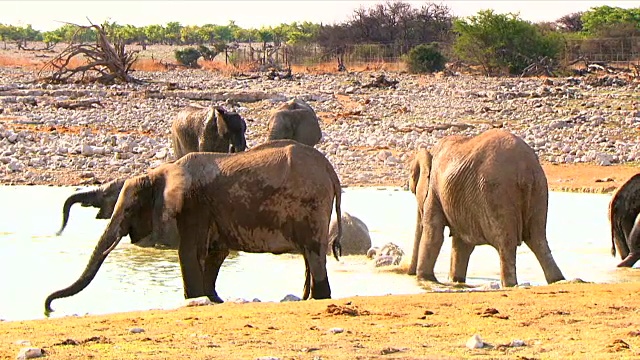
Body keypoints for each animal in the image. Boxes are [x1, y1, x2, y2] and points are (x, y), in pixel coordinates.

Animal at [43, 139, 344, 314]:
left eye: (128, 209)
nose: (50, 308)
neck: (161, 171)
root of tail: (331, 172)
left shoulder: (192, 205)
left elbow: (189, 253)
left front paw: (195, 299)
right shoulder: (211, 211)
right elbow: (215, 254)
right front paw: (212, 299)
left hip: (312, 204)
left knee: (313, 254)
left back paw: (319, 297)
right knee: (308, 256)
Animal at [410, 129, 564, 286]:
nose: (408, 273)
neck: (430, 152)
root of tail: (524, 168)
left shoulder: (434, 191)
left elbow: (434, 234)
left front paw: (425, 279)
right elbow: (463, 243)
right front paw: (456, 282)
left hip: (496, 192)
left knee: (506, 244)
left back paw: (510, 284)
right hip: (539, 189)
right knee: (538, 240)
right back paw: (557, 280)